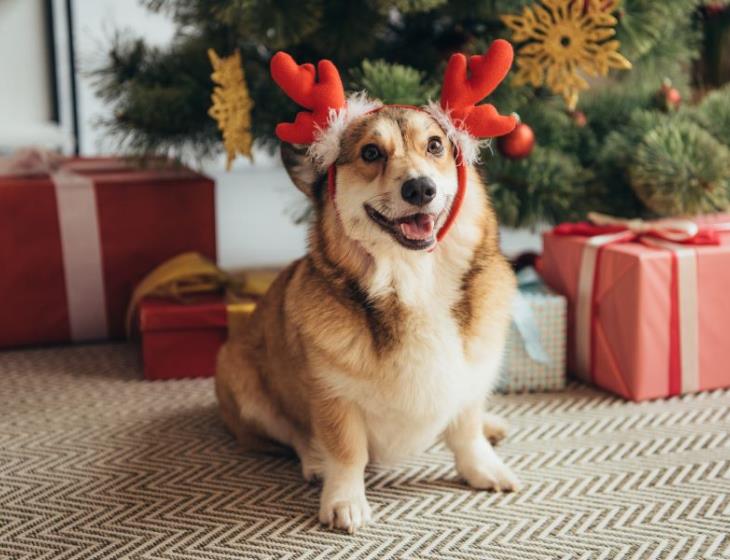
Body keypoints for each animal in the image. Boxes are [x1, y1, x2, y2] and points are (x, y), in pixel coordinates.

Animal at [215, 40, 516, 532]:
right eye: (371, 153)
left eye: (435, 145)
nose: (420, 188)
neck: (414, 280)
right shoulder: (332, 397)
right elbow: (346, 452)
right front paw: (344, 500)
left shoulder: (469, 379)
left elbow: (466, 432)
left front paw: (484, 468)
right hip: (243, 385)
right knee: (292, 435)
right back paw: (314, 461)